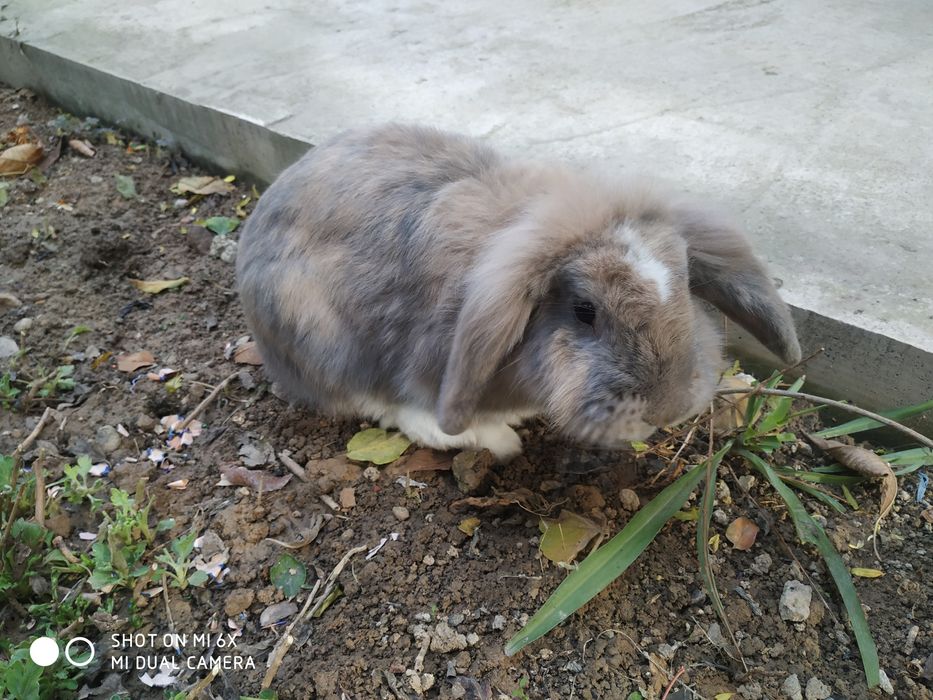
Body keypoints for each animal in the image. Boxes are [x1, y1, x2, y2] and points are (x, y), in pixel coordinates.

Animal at [236, 124, 801, 461]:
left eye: (684, 282)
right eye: (584, 310)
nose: (669, 407)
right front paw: (493, 436)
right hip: (315, 328)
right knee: (363, 396)